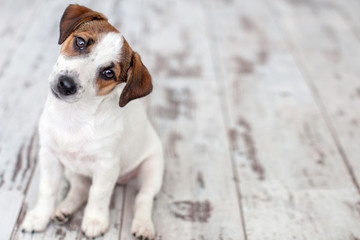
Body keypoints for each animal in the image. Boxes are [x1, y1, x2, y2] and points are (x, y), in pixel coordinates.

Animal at [21, 4, 165, 240]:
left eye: (108, 73)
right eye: (80, 42)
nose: (66, 84)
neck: (75, 116)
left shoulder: (106, 166)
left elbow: (98, 195)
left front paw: (95, 221)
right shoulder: (50, 156)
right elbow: (47, 189)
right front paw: (39, 216)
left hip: (152, 169)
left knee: (143, 199)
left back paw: (143, 225)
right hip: (72, 171)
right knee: (79, 189)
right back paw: (63, 209)